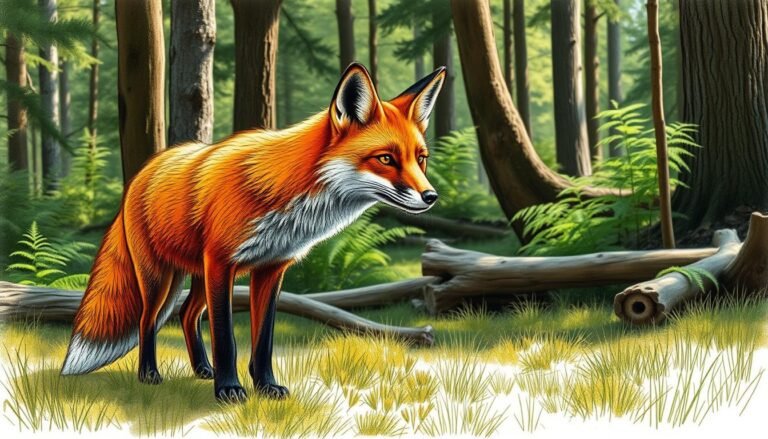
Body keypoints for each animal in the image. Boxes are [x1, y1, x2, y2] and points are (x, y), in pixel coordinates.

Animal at [60, 63, 446, 402]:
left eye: (421, 158)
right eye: (386, 159)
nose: (431, 197)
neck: (289, 200)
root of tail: (143, 171)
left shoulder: (270, 269)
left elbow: (263, 342)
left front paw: (265, 387)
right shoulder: (221, 265)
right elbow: (226, 339)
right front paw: (229, 390)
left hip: (195, 276)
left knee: (186, 314)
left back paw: (202, 369)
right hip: (159, 278)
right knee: (147, 321)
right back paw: (150, 374)